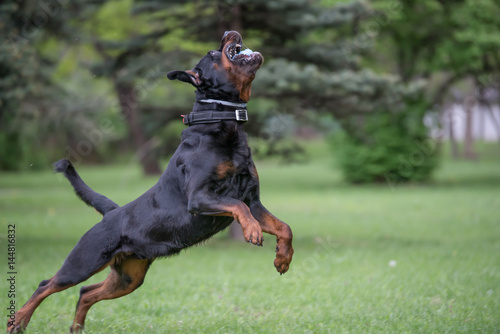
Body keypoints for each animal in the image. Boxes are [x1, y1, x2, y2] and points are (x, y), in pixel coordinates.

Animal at [7, 30, 292, 332]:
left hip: (129, 277)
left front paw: (283, 259)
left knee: (86, 292)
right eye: (213, 54)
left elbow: (283, 227)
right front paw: (253, 232)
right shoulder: (199, 197)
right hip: (85, 260)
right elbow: (239, 208)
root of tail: (111, 213)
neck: (221, 122)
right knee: (46, 285)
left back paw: (76, 328)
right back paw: (19, 321)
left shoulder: (253, 199)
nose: (229, 32)